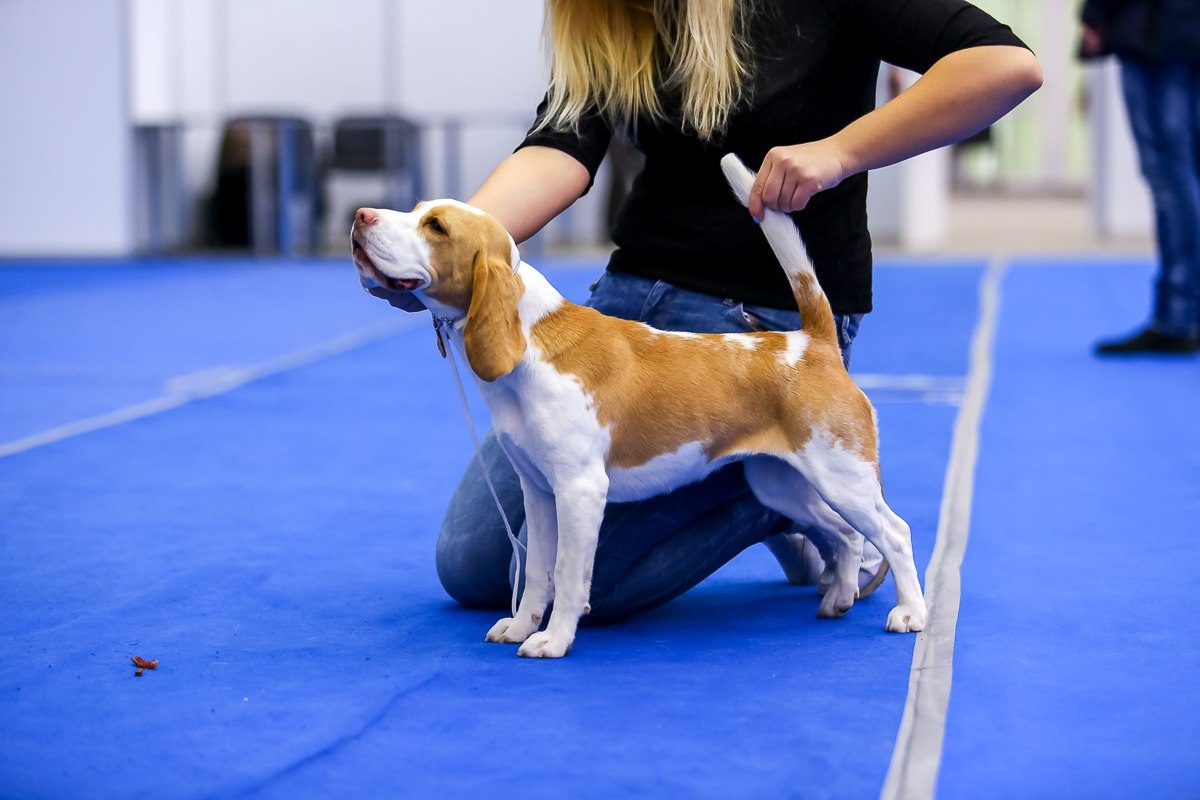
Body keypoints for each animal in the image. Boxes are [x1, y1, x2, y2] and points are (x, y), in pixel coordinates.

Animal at [351, 154, 927, 658]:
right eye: (417, 210)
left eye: (436, 227)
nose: (360, 216)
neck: (531, 343)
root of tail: (812, 342)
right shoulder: (538, 490)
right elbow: (536, 572)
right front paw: (519, 627)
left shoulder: (581, 490)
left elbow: (568, 573)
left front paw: (552, 641)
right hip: (782, 482)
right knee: (844, 533)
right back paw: (838, 597)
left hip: (841, 475)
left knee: (894, 532)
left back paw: (911, 614)